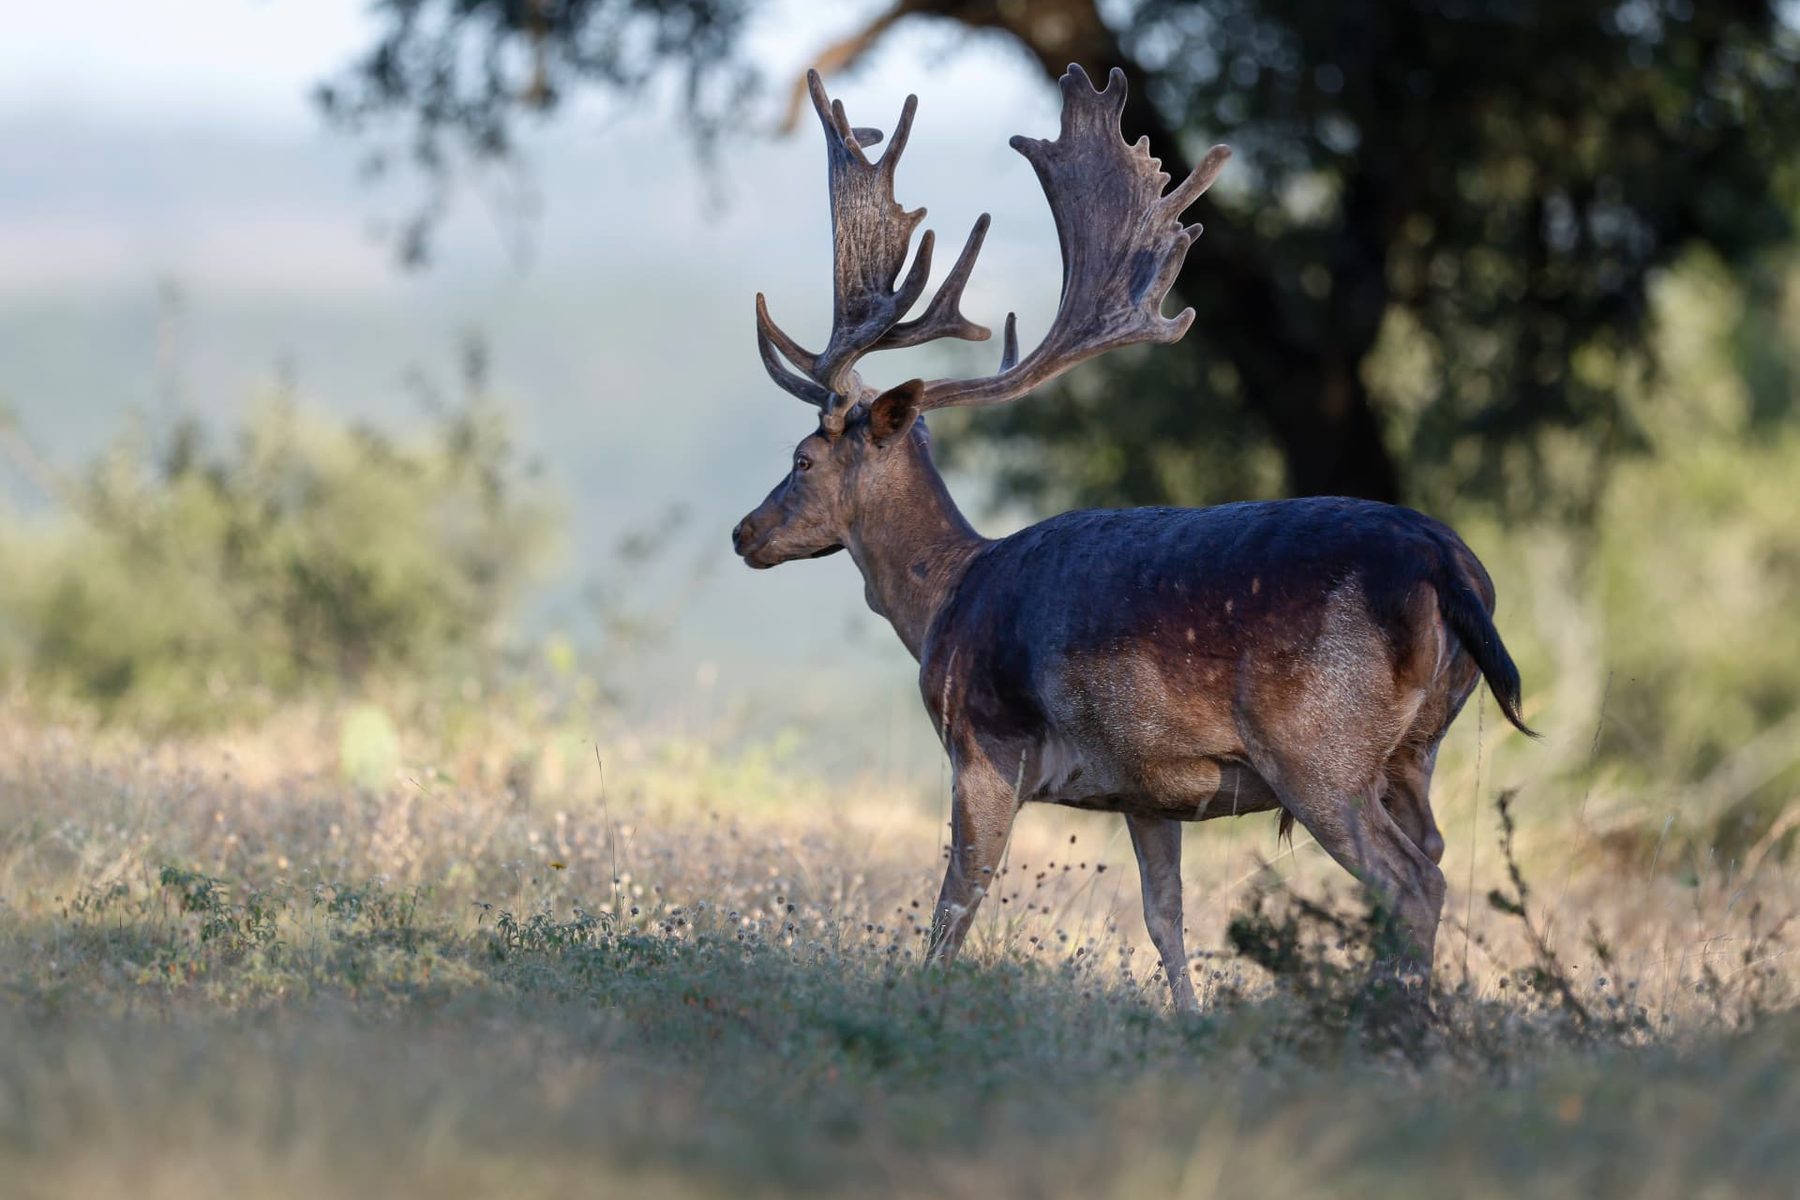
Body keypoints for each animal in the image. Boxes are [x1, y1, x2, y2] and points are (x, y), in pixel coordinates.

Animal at [731, 64, 1535, 1009]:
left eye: (804, 457)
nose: (745, 532)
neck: (944, 602)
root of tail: (1451, 567)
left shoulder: (985, 743)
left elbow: (956, 903)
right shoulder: (1151, 789)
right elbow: (1165, 918)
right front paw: (1188, 1017)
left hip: (1321, 747)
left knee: (1412, 882)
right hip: (1418, 747)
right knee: (1435, 857)